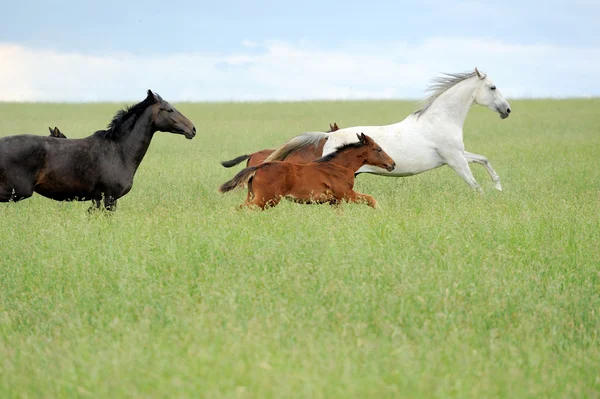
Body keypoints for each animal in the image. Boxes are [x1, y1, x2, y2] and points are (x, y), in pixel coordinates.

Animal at [0, 89, 197, 211]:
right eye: (169, 110)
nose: (193, 129)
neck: (119, 151)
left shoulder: (98, 199)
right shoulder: (109, 197)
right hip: (17, 191)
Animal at [219, 134, 394, 211]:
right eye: (378, 149)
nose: (392, 164)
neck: (339, 166)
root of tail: (259, 167)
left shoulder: (335, 201)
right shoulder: (346, 194)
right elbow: (370, 199)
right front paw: (381, 211)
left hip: (256, 197)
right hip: (266, 199)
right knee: (240, 208)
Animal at [264, 69, 508, 192]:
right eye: (493, 87)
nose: (507, 110)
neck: (440, 120)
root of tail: (329, 135)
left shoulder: (458, 154)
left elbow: (484, 159)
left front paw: (498, 187)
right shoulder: (455, 159)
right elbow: (474, 185)